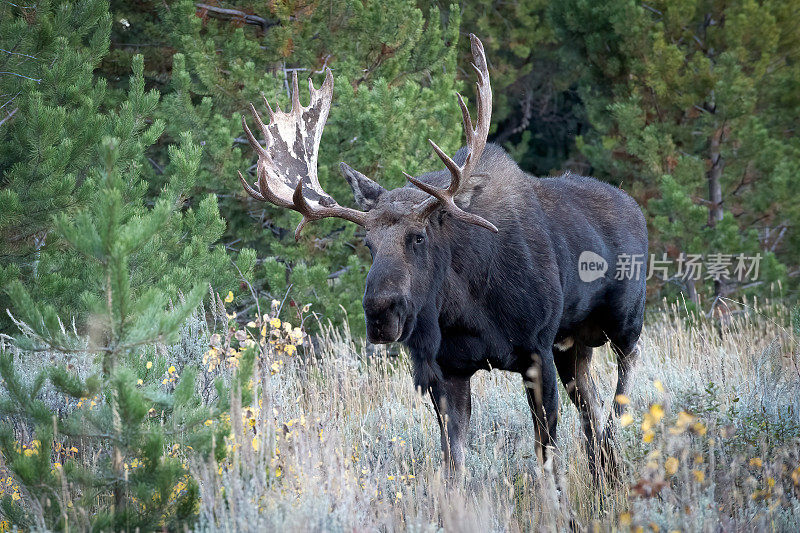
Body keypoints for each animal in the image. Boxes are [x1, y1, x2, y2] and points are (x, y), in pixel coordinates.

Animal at [234, 35, 648, 480]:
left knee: (622, 383)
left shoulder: (537, 350)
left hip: (624, 321)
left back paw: (614, 445)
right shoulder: (446, 369)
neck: (467, 308)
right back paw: (605, 472)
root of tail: (636, 208)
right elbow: (453, 465)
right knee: (591, 407)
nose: (380, 314)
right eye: (369, 244)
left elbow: (546, 460)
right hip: (573, 344)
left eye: (419, 237)